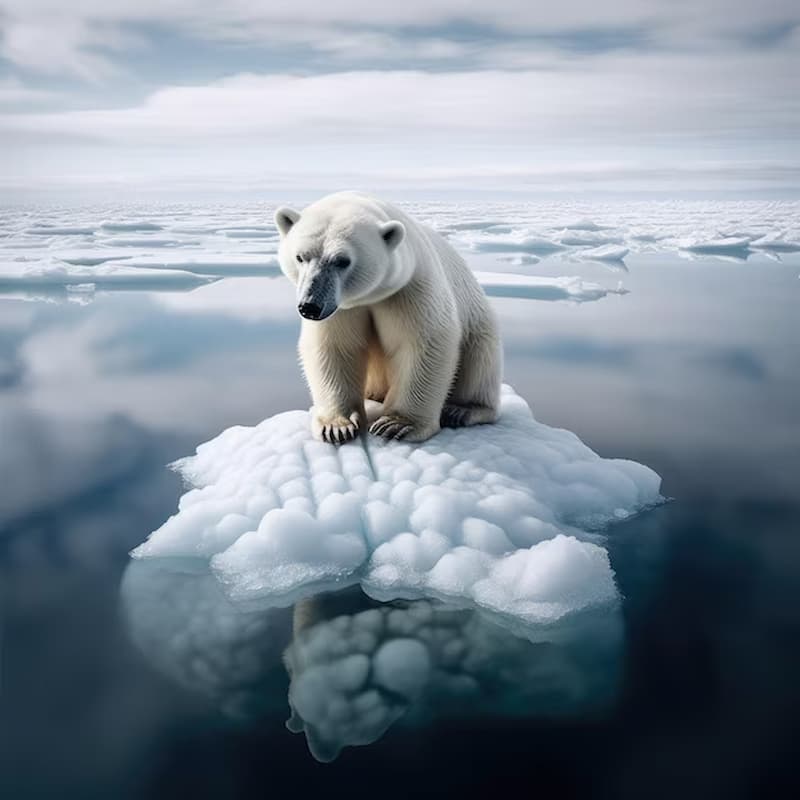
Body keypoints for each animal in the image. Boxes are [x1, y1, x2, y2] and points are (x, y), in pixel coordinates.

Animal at [274, 191, 502, 444]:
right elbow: (335, 347)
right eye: (300, 257)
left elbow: (423, 344)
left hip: (479, 324)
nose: (310, 306)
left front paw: (396, 424)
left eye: (342, 260)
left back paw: (463, 410)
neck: (372, 295)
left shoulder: (410, 288)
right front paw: (337, 426)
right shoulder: (342, 308)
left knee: (480, 362)